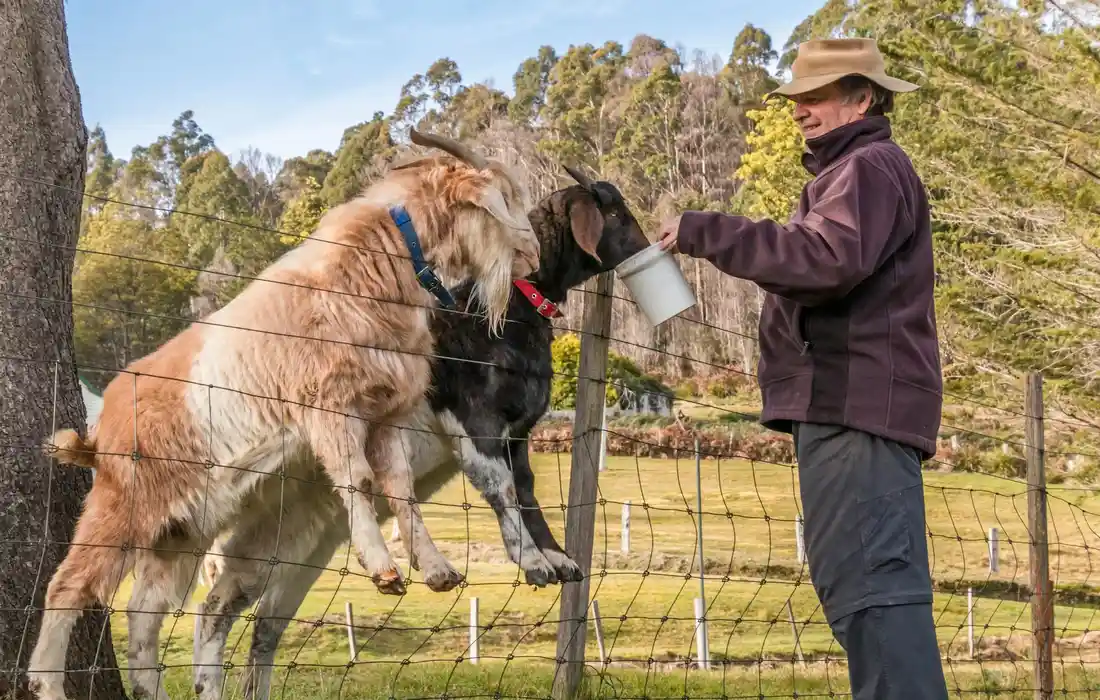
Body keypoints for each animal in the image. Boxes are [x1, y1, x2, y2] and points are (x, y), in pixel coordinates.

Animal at [27, 129, 540, 700]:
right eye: (506, 199)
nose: (533, 254)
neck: (371, 266)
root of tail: (100, 429)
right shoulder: (328, 404)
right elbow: (358, 479)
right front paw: (382, 569)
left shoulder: (386, 411)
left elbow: (401, 489)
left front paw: (435, 569)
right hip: (124, 504)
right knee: (68, 585)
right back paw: (45, 683)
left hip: (180, 531)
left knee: (144, 613)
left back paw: (149, 689)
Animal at [190, 167, 650, 700]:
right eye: (616, 212)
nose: (653, 246)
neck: (506, 305)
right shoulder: (476, 421)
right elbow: (503, 491)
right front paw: (533, 563)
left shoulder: (519, 434)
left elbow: (529, 494)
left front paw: (558, 559)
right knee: (215, 611)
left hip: (298, 547)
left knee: (258, 623)